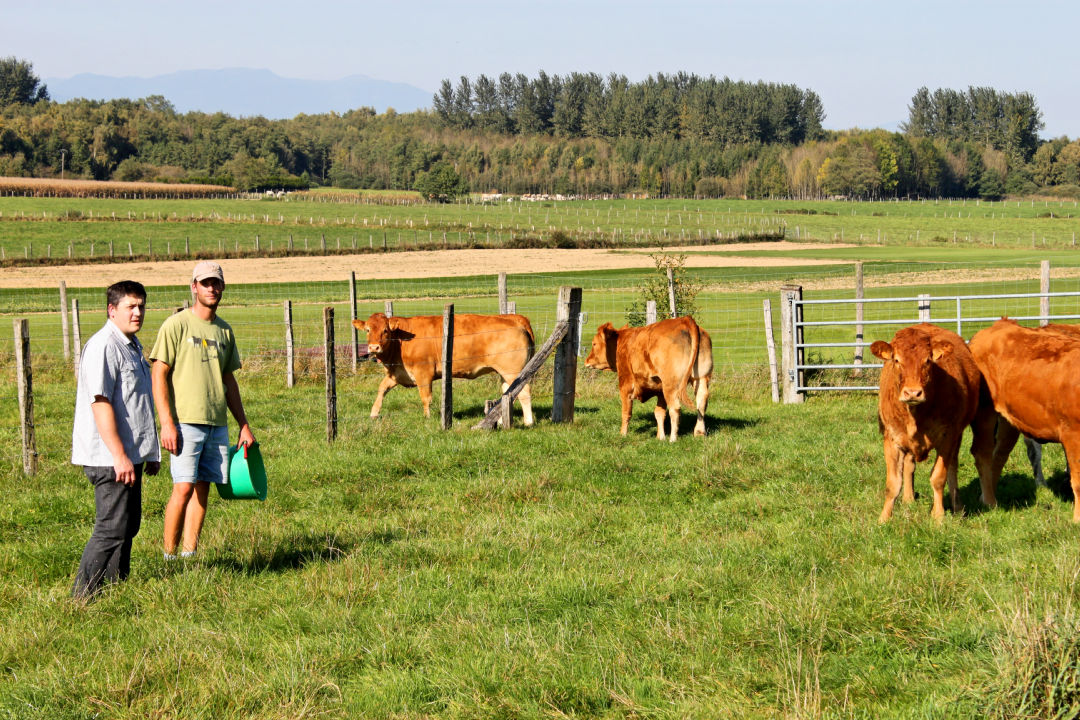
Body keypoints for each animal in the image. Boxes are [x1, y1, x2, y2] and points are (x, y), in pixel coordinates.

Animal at [354, 313, 535, 425]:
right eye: (368, 330)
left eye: (385, 330)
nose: (374, 347)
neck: (400, 341)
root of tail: (515, 318)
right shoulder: (397, 374)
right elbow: (381, 389)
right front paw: (374, 413)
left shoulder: (423, 373)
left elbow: (425, 397)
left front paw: (427, 418)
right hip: (505, 373)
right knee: (509, 392)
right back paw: (501, 420)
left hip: (513, 371)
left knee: (523, 392)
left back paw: (528, 422)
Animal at [868, 323, 989, 520]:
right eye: (896, 360)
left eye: (927, 361)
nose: (913, 393)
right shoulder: (891, 438)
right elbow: (893, 483)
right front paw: (884, 518)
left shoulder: (948, 437)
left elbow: (938, 477)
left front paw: (938, 516)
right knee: (909, 465)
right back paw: (908, 499)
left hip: (957, 436)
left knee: (952, 467)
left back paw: (957, 506)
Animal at [967, 319, 1080, 518]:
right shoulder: (1072, 433)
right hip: (984, 412)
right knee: (983, 454)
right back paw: (989, 501)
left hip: (1009, 421)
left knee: (999, 456)